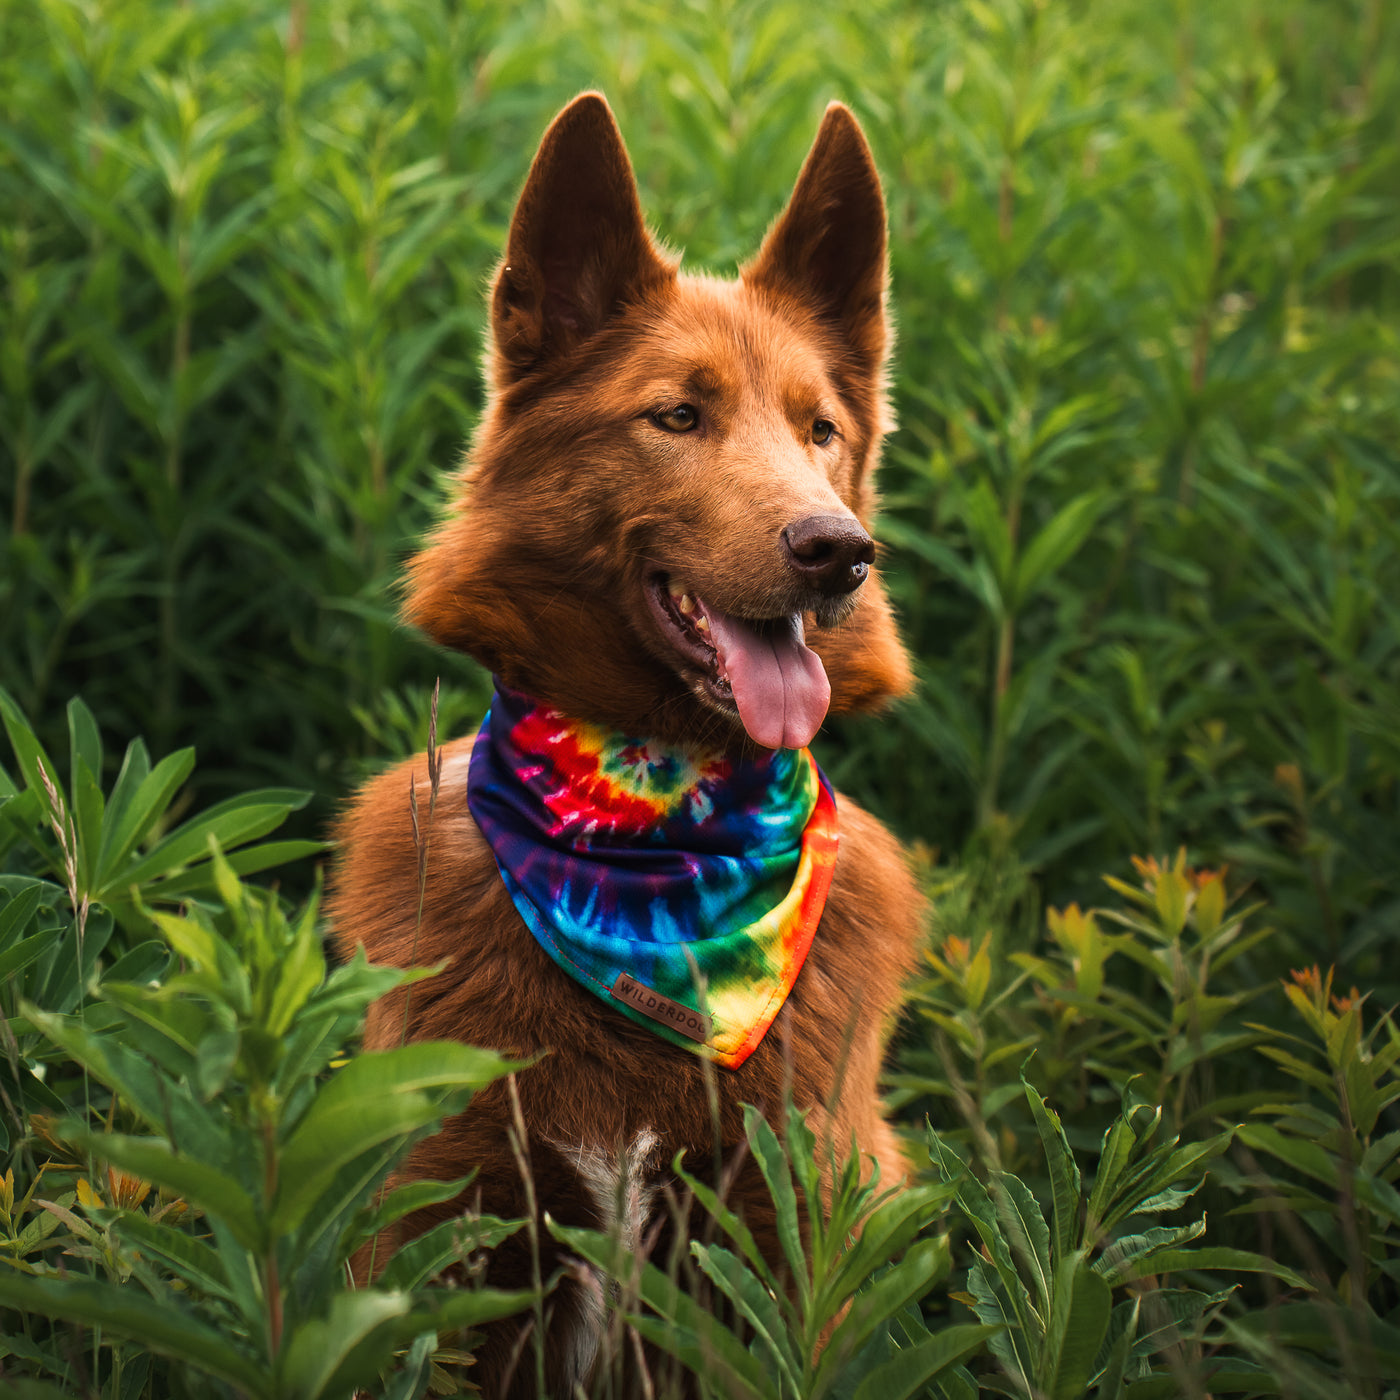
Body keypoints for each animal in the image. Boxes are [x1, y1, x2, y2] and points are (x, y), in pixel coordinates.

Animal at [331, 93, 924, 1394]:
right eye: (676, 415)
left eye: (819, 429)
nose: (838, 550)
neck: (652, 827)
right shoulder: (449, 1226)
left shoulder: (774, 1237)